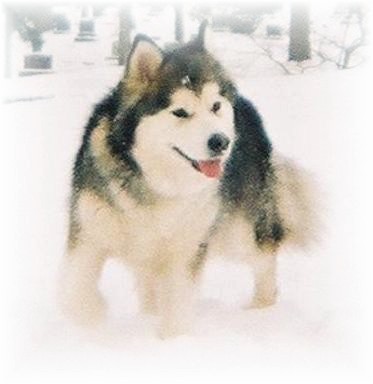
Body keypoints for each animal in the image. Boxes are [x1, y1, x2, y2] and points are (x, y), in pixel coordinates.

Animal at [59, 22, 316, 338]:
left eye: (215, 106)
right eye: (180, 112)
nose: (221, 142)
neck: (156, 183)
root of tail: (244, 104)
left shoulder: (188, 247)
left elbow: (178, 304)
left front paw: (172, 340)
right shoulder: (88, 236)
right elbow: (74, 294)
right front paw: (92, 318)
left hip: (238, 229)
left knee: (264, 256)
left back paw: (262, 308)